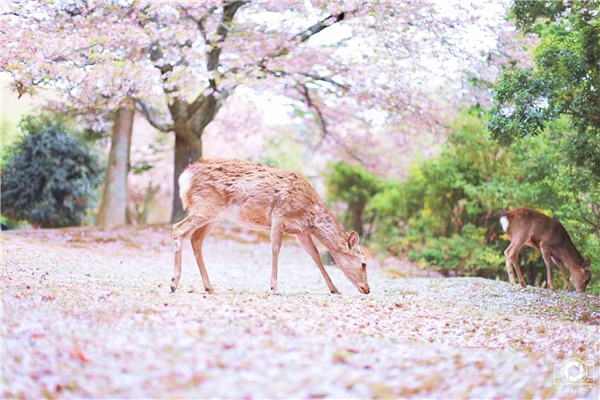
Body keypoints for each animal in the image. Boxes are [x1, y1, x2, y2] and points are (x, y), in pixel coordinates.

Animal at [170, 159, 370, 294]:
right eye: (364, 263)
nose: (367, 288)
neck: (311, 216)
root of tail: (185, 176)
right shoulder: (279, 216)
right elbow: (276, 248)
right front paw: (275, 288)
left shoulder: (301, 232)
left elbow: (315, 255)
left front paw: (334, 289)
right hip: (206, 206)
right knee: (178, 228)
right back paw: (173, 283)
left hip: (215, 215)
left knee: (196, 239)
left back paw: (209, 287)